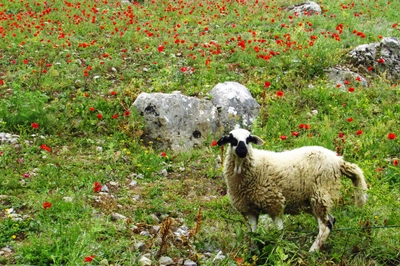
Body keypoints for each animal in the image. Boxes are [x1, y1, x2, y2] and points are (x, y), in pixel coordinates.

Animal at [219, 128, 368, 251]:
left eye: (249, 139)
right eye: (232, 139)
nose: (242, 151)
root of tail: (338, 161)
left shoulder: (275, 203)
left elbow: (279, 233)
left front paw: (276, 251)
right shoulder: (250, 209)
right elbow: (253, 234)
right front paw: (253, 252)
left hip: (320, 192)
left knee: (325, 227)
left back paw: (311, 252)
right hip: (313, 201)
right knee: (331, 221)